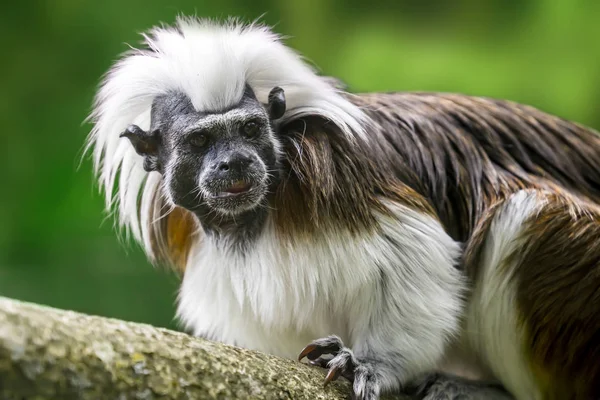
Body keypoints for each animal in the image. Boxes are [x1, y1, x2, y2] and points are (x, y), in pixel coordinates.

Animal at [86, 16, 600, 400]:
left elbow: (415, 250)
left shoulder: (341, 173)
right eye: (200, 141)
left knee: (530, 217)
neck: (260, 213)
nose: (235, 161)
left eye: (250, 130)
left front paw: (371, 364)